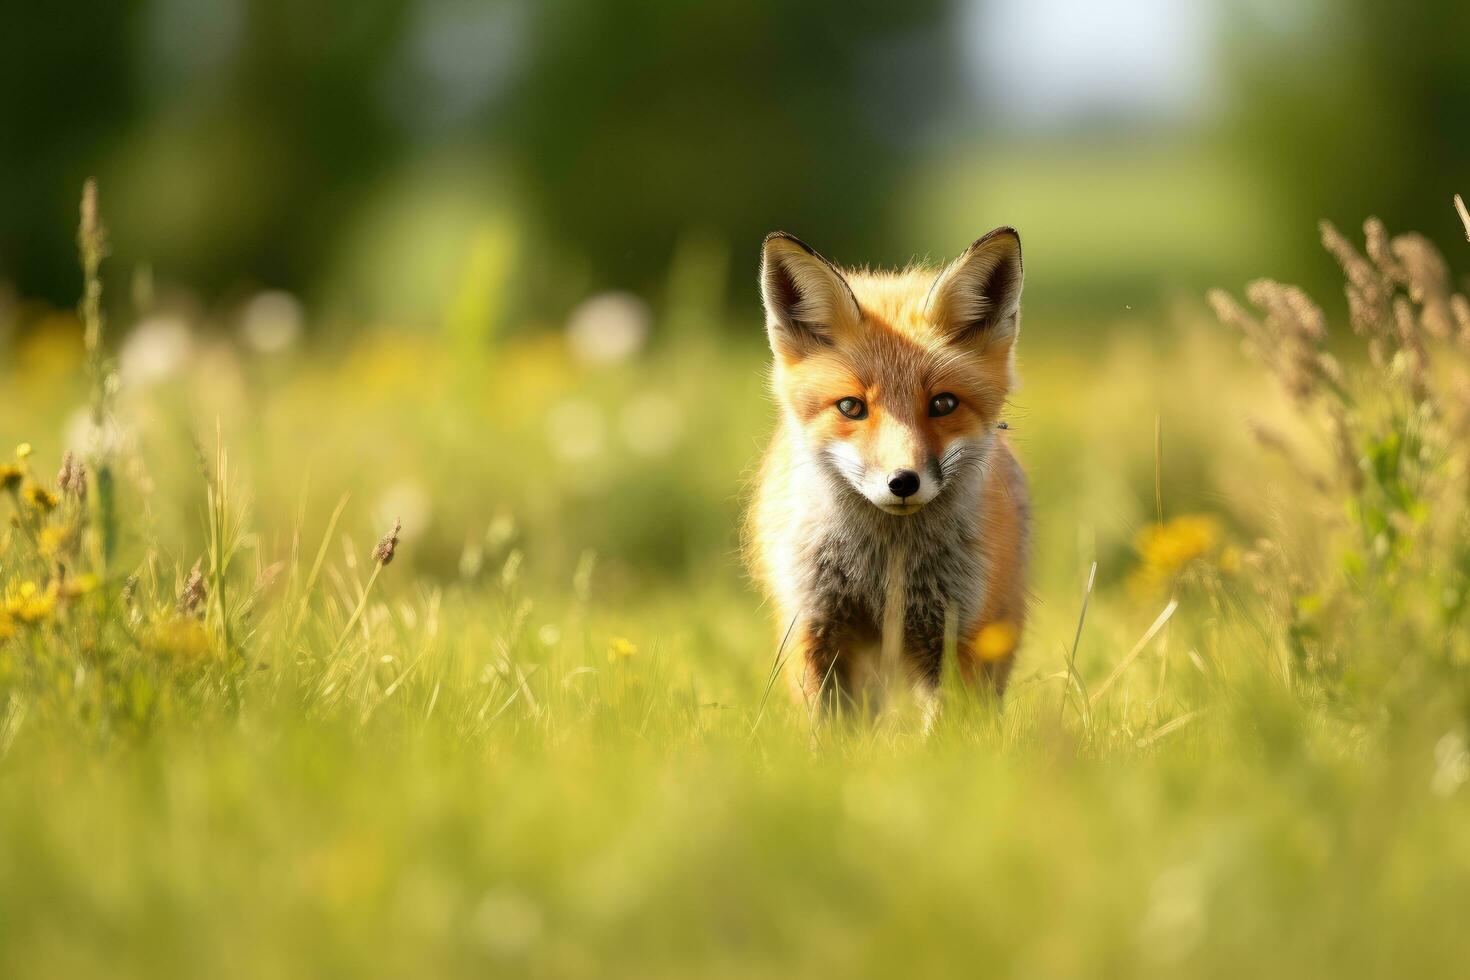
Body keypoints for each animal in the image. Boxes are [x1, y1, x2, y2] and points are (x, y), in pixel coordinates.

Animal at [740, 230, 1029, 714]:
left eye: (943, 404)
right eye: (851, 406)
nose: (903, 482)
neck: (885, 570)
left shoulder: (954, 637)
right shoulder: (817, 630)